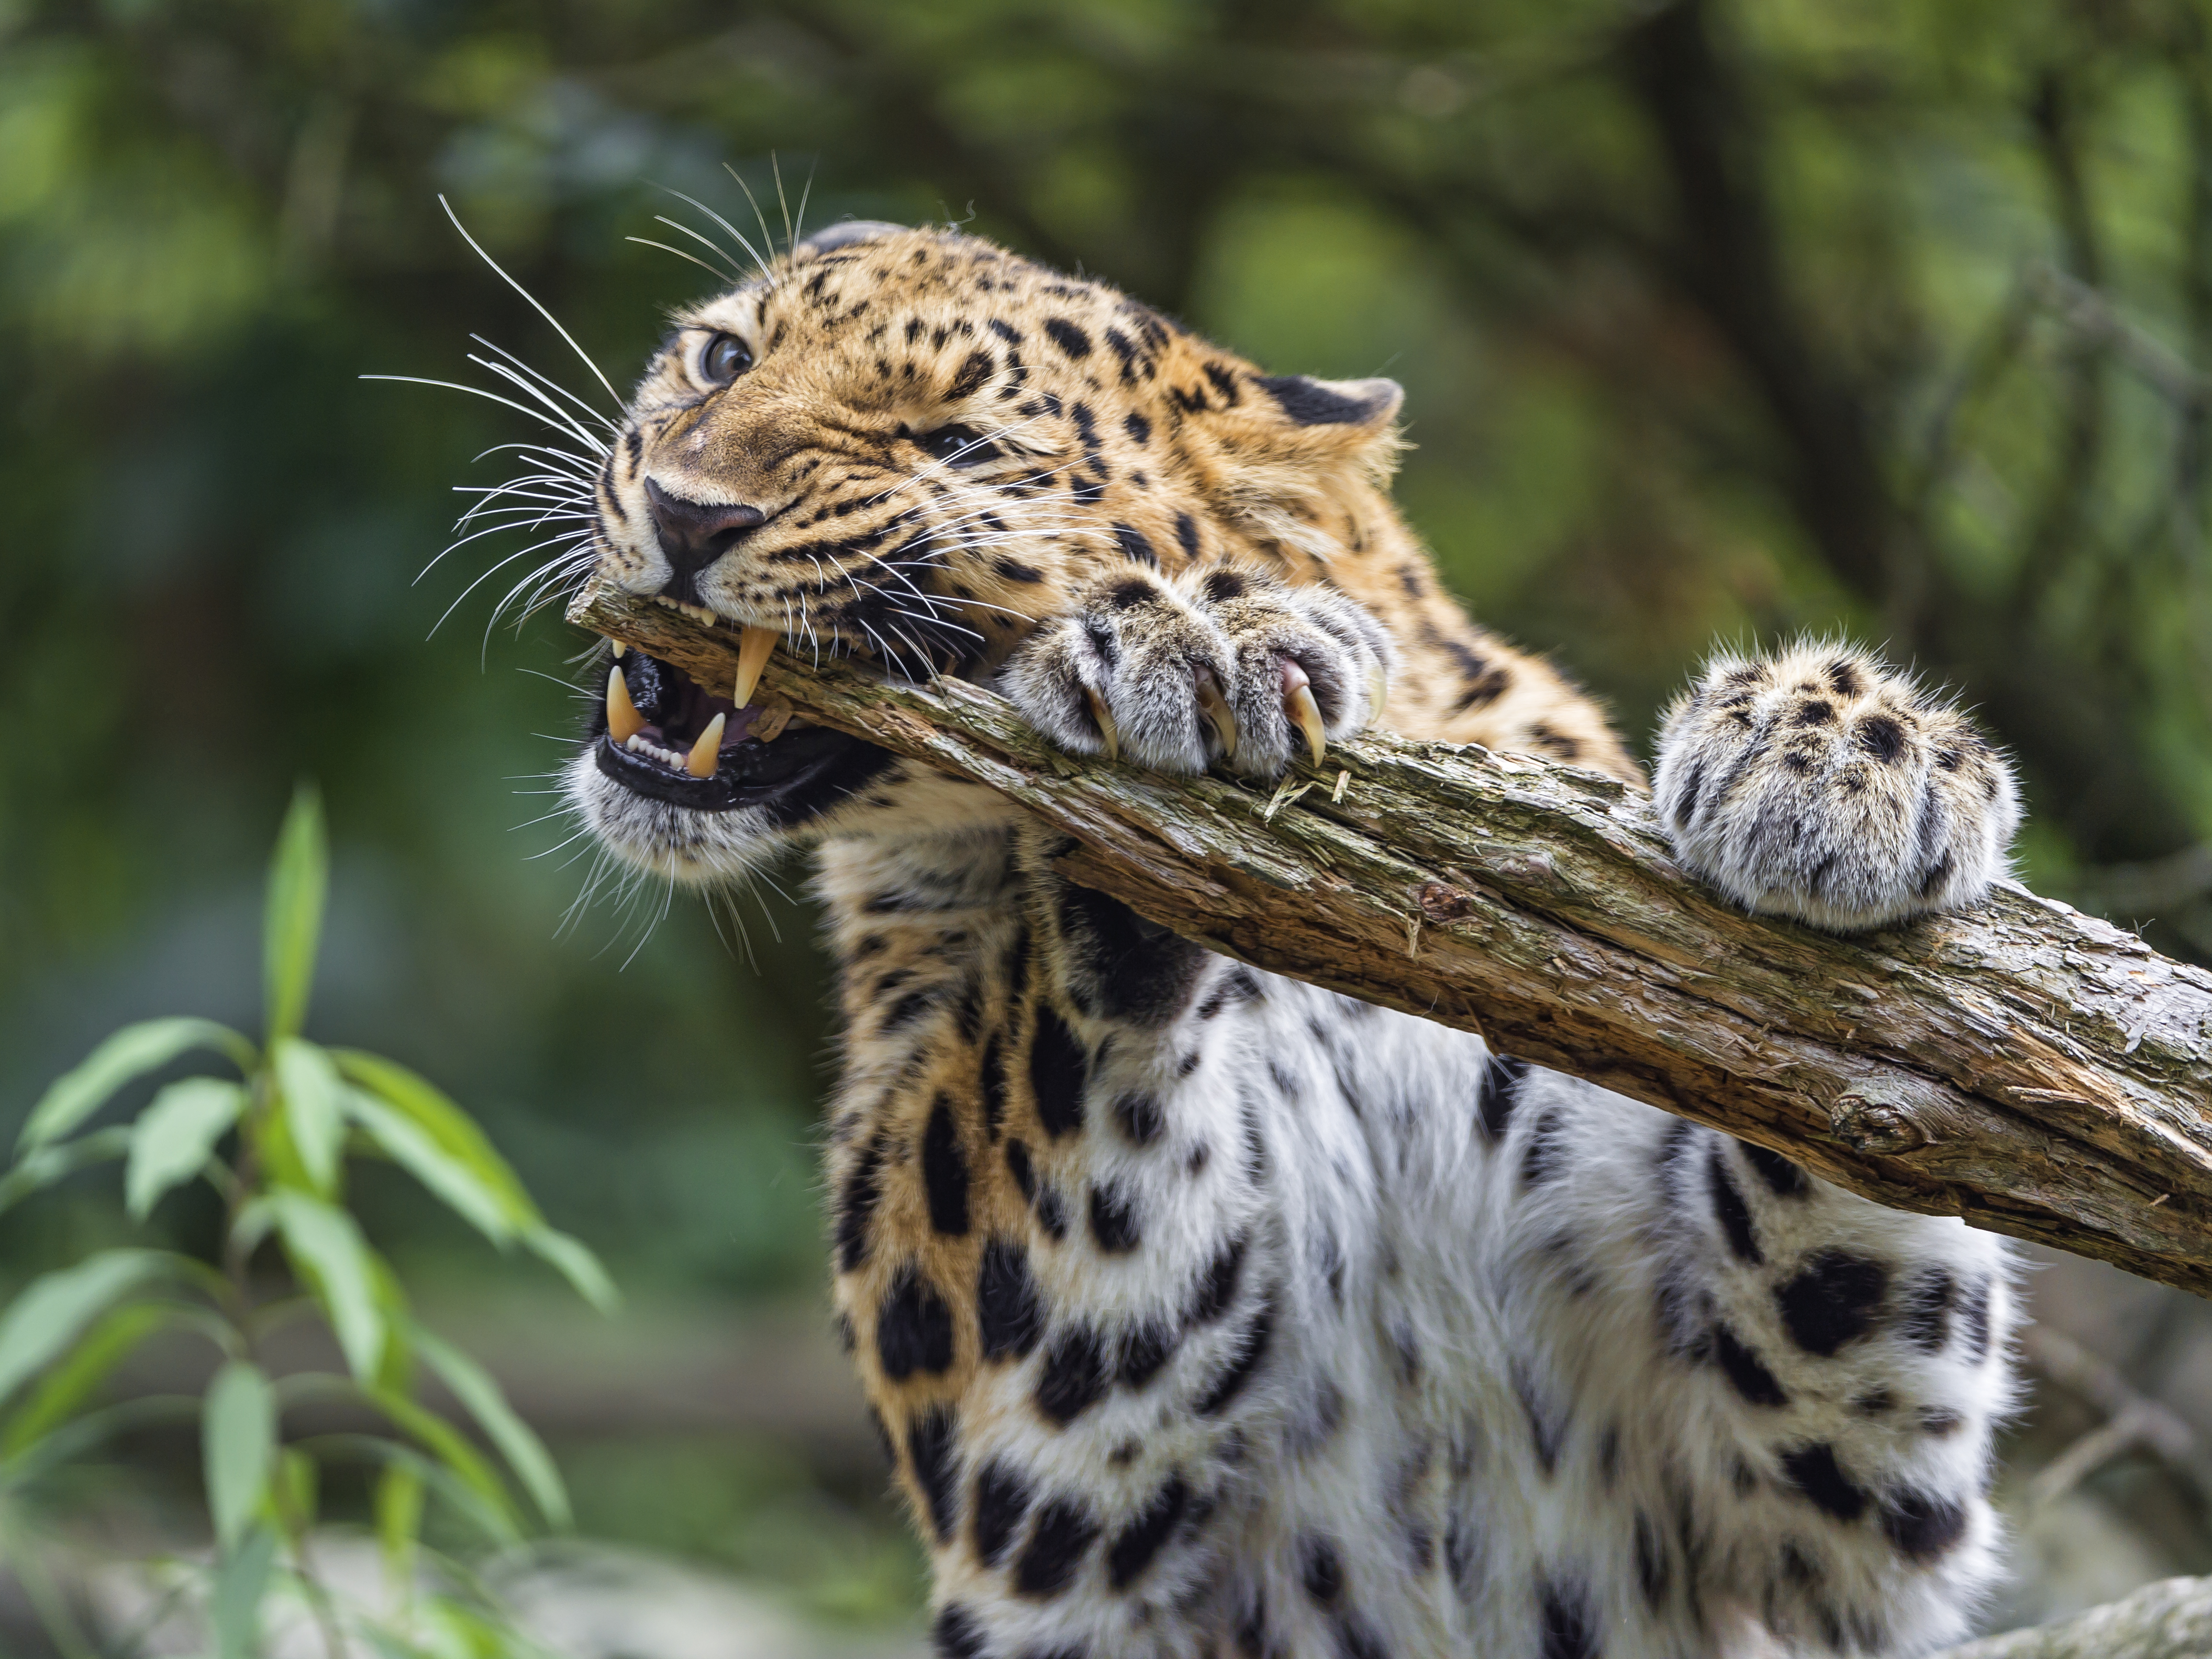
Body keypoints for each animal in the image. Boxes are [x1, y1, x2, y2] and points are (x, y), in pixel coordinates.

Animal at [548, 221, 2026, 1659]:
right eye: (720, 358)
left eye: (956, 446)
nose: (684, 509)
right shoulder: (1032, 1497)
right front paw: (1194, 643)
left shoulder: (1818, 1513)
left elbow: (1831, 1106)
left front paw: (1835, 771)